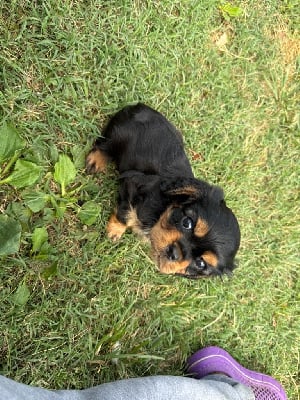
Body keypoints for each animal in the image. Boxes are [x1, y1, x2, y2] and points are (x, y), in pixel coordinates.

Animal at [85, 103, 240, 278]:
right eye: (187, 223)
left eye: (200, 263)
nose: (174, 253)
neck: (161, 212)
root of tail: (140, 106)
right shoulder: (133, 185)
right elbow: (124, 216)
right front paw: (114, 231)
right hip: (117, 135)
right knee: (103, 144)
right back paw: (96, 161)